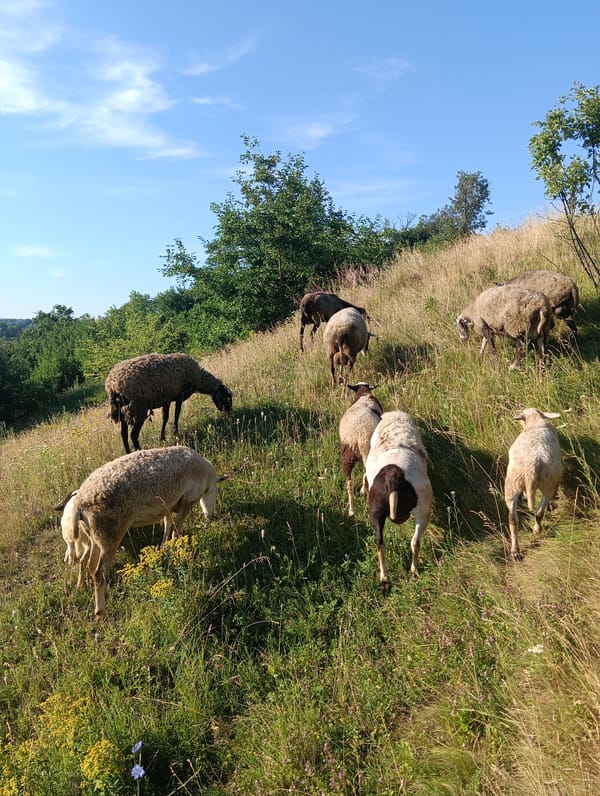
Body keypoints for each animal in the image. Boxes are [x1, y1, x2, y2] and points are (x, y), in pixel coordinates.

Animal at [65, 446, 222, 617]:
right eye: (215, 493)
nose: (210, 516)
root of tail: (79, 504)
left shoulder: (167, 505)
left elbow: (167, 526)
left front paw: (164, 548)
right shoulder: (187, 500)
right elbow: (177, 530)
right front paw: (178, 552)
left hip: (95, 536)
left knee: (88, 564)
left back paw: (81, 586)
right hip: (109, 535)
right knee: (99, 573)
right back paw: (100, 610)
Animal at [338, 383, 384, 517]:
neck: (364, 393)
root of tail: (359, 436)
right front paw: (363, 489)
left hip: (347, 456)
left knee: (349, 483)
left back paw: (351, 510)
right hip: (368, 453)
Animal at [365, 411, 433, 594]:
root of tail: (393, 479)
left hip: (376, 512)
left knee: (380, 543)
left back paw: (385, 580)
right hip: (423, 507)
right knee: (415, 542)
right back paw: (414, 569)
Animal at [504, 408, 563, 561]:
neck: (535, 422)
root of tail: (532, 463)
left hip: (511, 485)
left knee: (512, 520)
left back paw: (515, 551)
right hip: (547, 483)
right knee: (539, 513)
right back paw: (537, 529)